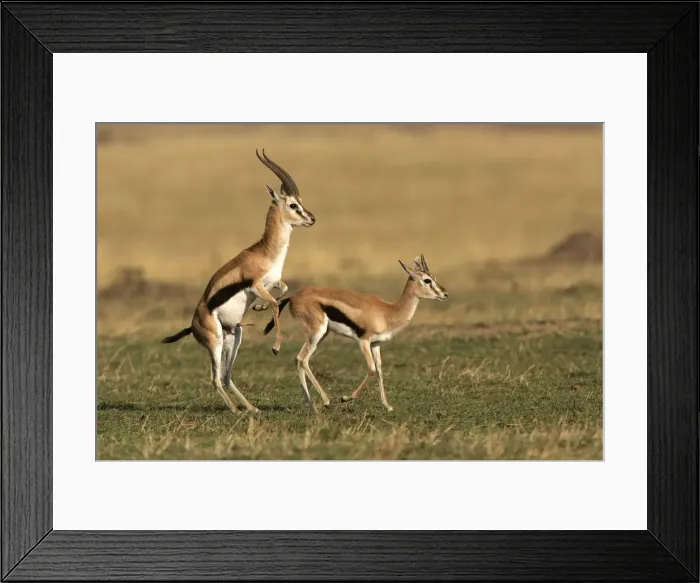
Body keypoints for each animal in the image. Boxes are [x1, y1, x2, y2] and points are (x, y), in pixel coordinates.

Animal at [161, 149, 316, 414]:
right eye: (293, 205)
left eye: (301, 201)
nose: (312, 219)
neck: (264, 252)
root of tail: (193, 324)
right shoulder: (256, 284)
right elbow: (274, 303)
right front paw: (275, 347)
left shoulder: (271, 282)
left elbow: (283, 289)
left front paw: (258, 307)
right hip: (216, 342)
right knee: (215, 379)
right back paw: (234, 410)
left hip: (235, 337)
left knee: (225, 376)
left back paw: (251, 408)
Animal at [261, 255, 448, 412]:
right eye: (427, 280)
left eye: (434, 278)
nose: (444, 294)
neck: (388, 312)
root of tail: (294, 296)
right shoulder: (363, 340)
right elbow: (371, 369)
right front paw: (345, 398)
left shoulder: (376, 343)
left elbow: (379, 370)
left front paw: (387, 405)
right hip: (317, 333)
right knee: (302, 359)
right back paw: (326, 401)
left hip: (323, 334)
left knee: (298, 359)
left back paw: (311, 405)